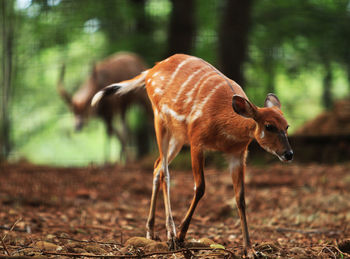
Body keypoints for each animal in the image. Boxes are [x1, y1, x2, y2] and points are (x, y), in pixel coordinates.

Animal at [91, 54, 292, 258]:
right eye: (269, 126)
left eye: (287, 126)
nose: (288, 154)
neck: (224, 126)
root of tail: (150, 71)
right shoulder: (197, 141)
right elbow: (200, 187)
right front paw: (180, 235)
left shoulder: (238, 153)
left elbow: (241, 198)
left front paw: (250, 250)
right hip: (159, 118)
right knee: (165, 172)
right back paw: (170, 235)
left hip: (178, 136)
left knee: (156, 166)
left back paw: (151, 231)